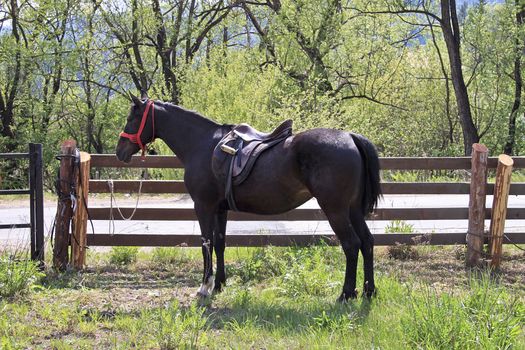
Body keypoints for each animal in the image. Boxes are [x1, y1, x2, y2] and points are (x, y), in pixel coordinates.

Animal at [115, 94, 380, 302]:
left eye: (131, 118)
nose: (119, 152)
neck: (202, 145)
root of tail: (349, 137)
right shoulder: (220, 209)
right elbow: (220, 243)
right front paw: (219, 284)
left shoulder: (203, 206)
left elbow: (206, 244)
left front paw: (204, 287)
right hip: (353, 210)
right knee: (367, 242)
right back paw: (369, 291)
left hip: (335, 210)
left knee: (351, 244)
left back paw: (346, 294)